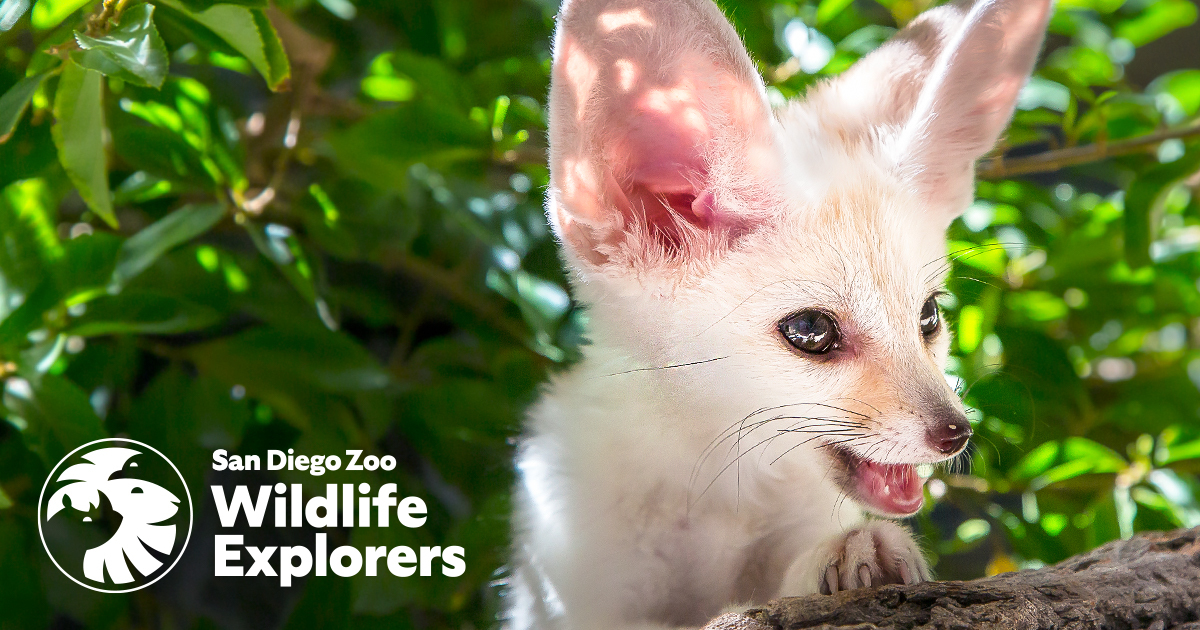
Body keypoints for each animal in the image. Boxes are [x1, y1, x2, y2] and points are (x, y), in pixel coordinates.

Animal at [506, 0, 1051, 624]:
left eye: (929, 317)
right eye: (811, 331)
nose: (956, 434)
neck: (717, 487)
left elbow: (774, 591)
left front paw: (849, 552)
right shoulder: (570, 592)